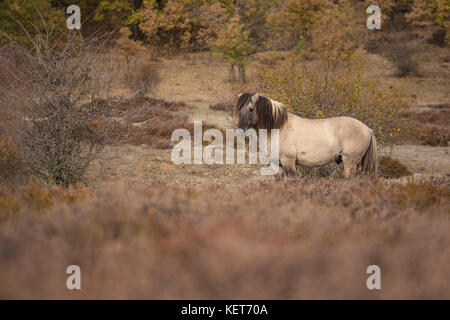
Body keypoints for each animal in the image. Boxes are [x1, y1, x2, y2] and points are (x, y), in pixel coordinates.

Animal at [237, 92, 378, 179]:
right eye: (239, 110)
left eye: (251, 109)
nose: (239, 130)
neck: (277, 128)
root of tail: (367, 129)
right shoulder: (276, 164)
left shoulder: (288, 162)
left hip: (350, 162)